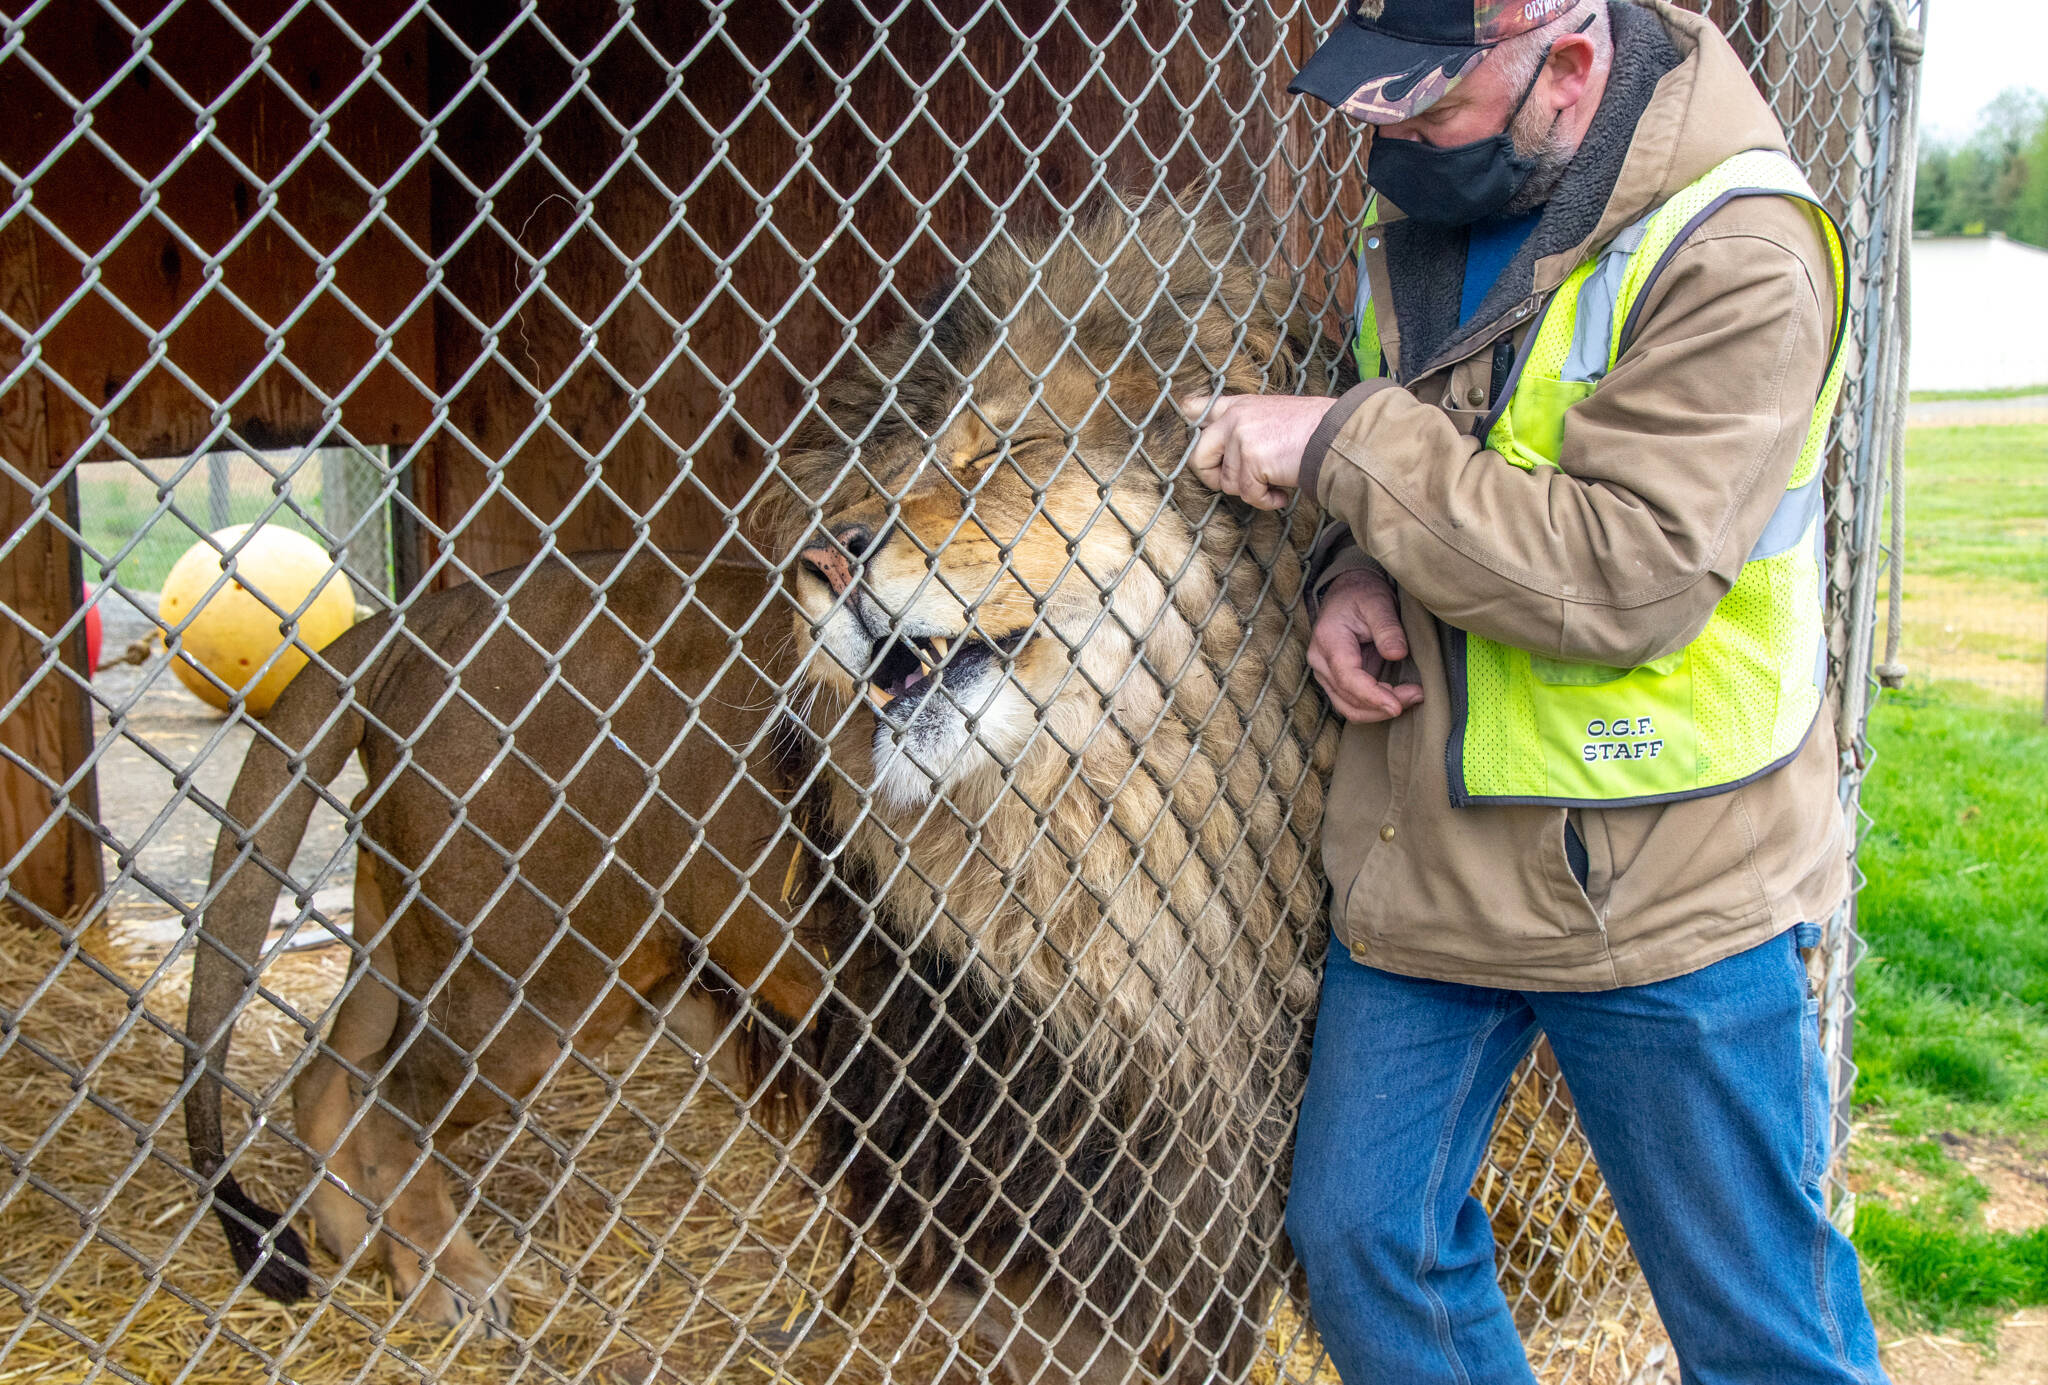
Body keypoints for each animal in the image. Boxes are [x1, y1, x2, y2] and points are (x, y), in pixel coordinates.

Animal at [183, 555, 827, 1325]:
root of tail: (420, 618)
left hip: (411, 939)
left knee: (331, 1075)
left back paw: (351, 1239)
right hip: (526, 989)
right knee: (389, 1106)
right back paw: (445, 1282)